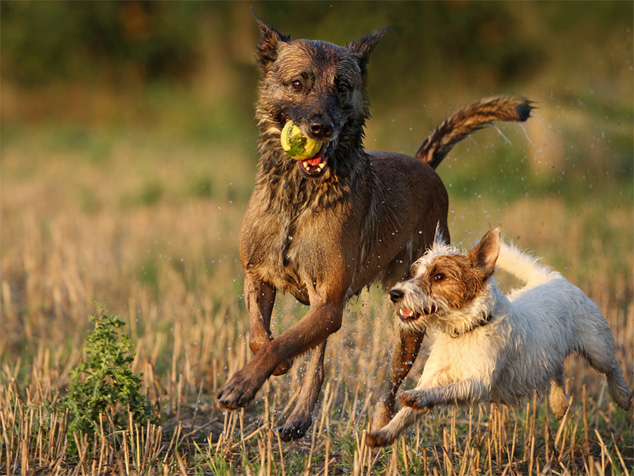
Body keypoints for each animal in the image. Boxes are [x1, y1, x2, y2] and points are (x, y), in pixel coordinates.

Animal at [215, 12, 532, 442]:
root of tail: (425, 166)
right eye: (298, 83)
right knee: (318, 357)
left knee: (388, 387)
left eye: (343, 87)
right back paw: (299, 416)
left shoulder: (329, 300)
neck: (300, 196)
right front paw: (269, 369)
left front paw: (243, 384)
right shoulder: (258, 277)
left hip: (405, 324)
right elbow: (260, 337)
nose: (321, 128)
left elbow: (282, 343)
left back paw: (373, 430)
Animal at [362, 227, 628, 446]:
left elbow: (443, 391)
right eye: (415, 273)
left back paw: (622, 395)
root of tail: (550, 278)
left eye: (439, 277)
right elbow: (406, 414)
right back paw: (558, 402)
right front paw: (383, 433)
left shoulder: (478, 382)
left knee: (611, 367)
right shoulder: (434, 376)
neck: (465, 331)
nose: (394, 293)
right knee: (557, 371)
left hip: (597, 347)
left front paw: (416, 396)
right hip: (546, 353)